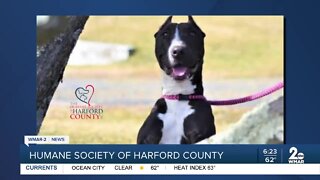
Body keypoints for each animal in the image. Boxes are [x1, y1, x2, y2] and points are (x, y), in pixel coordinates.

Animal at [136, 16, 216, 144]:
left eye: (192, 33)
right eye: (165, 34)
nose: (178, 50)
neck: (178, 95)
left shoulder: (201, 135)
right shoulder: (147, 138)